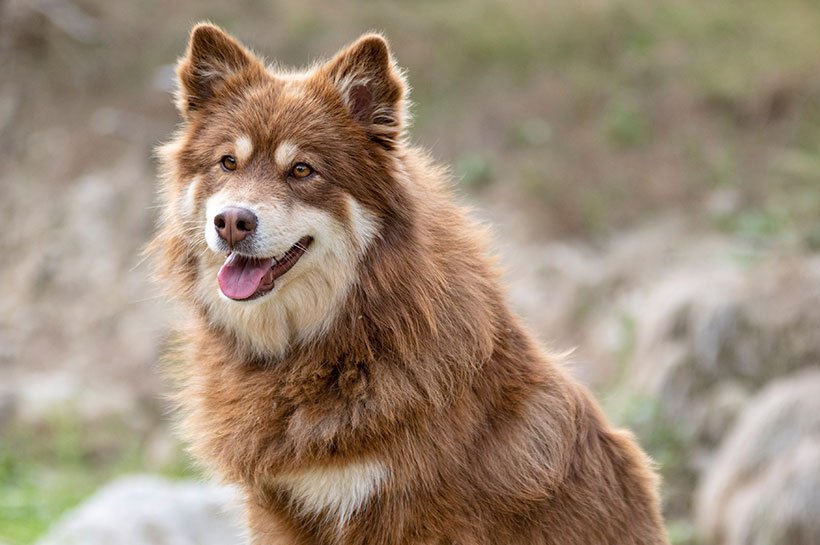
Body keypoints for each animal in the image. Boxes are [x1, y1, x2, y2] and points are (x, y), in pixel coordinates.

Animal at [151, 22, 668, 544]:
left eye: (301, 170)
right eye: (227, 163)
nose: (231, 222)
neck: (337, 340)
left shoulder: (406, 511)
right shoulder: (278, 509)